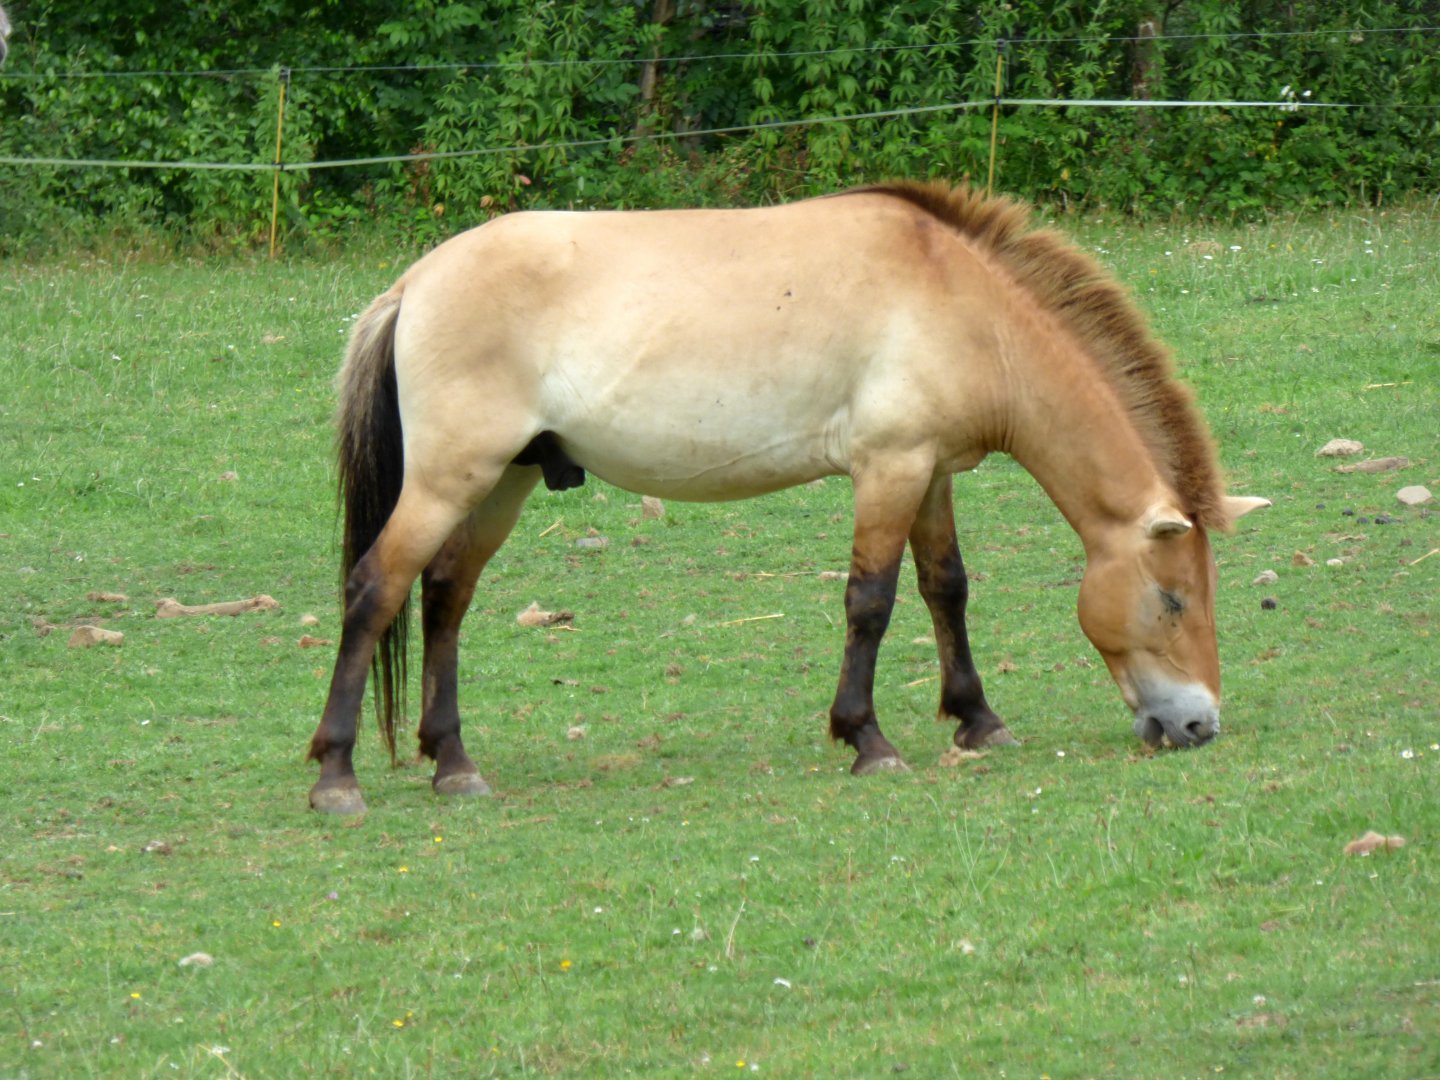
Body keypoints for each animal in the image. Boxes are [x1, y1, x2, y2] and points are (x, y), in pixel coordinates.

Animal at [306, 180, 1269, 814]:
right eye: (1173, 600)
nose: (1200, 725)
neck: (961, 303)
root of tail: (414, 284)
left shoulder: (930, 473)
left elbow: (945, 588)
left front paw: (977, 720)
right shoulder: (889, 468)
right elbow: (871, 602)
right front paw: (867, 741)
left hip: (500, 482)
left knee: (443, 598)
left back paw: (453, 764)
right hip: (450, 480)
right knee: (375, 590)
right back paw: (336, 776)